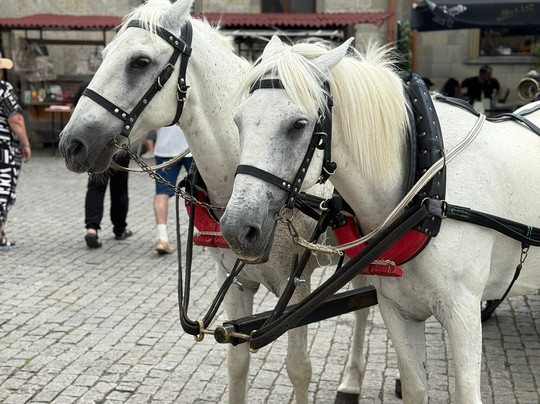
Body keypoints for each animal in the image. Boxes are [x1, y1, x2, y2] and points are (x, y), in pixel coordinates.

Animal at [58, 1, 371, 402]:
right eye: (105, 54)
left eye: (139, 62)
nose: (72, 144)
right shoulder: (236, 281)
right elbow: (237, 363)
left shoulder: (298, 291)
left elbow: (299, 369)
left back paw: (352, 380)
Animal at [220, 35, 540, 403]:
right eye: (237, 121)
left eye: (298, 125)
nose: (237, 229)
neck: (429, 195)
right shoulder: (397, 309)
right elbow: (415, 388)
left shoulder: (463, 313)